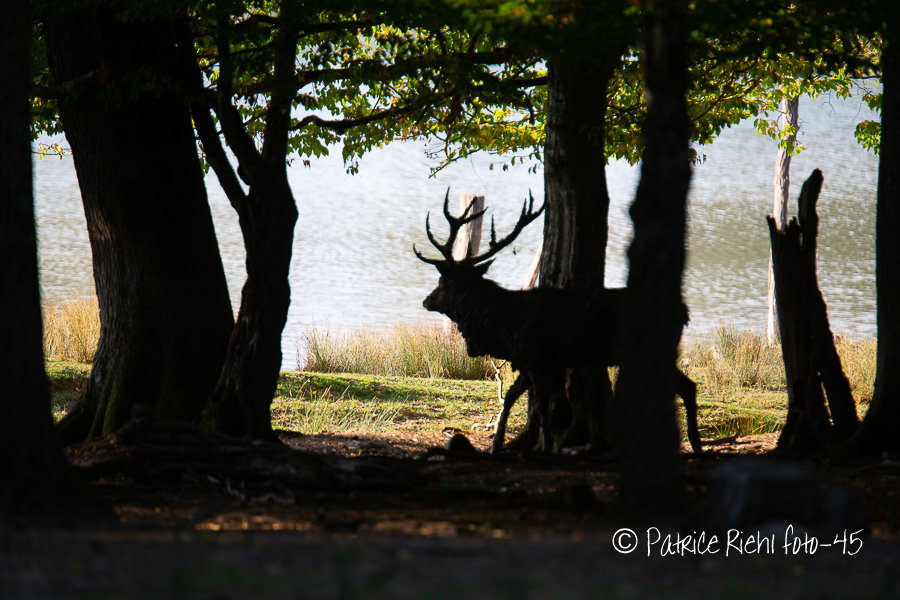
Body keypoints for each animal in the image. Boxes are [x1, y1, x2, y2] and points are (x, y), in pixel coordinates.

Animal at [414, 190, 703, 456]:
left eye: (442, 282)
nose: (426, 300)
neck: (499, 326)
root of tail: (684, 312)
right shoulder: (527, 362)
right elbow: (510, 399)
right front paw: (496, 446)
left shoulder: (536, 359)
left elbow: (541, 407)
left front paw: (545, 448)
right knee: (688, 386)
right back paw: (695, 445)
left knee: (683, 387)